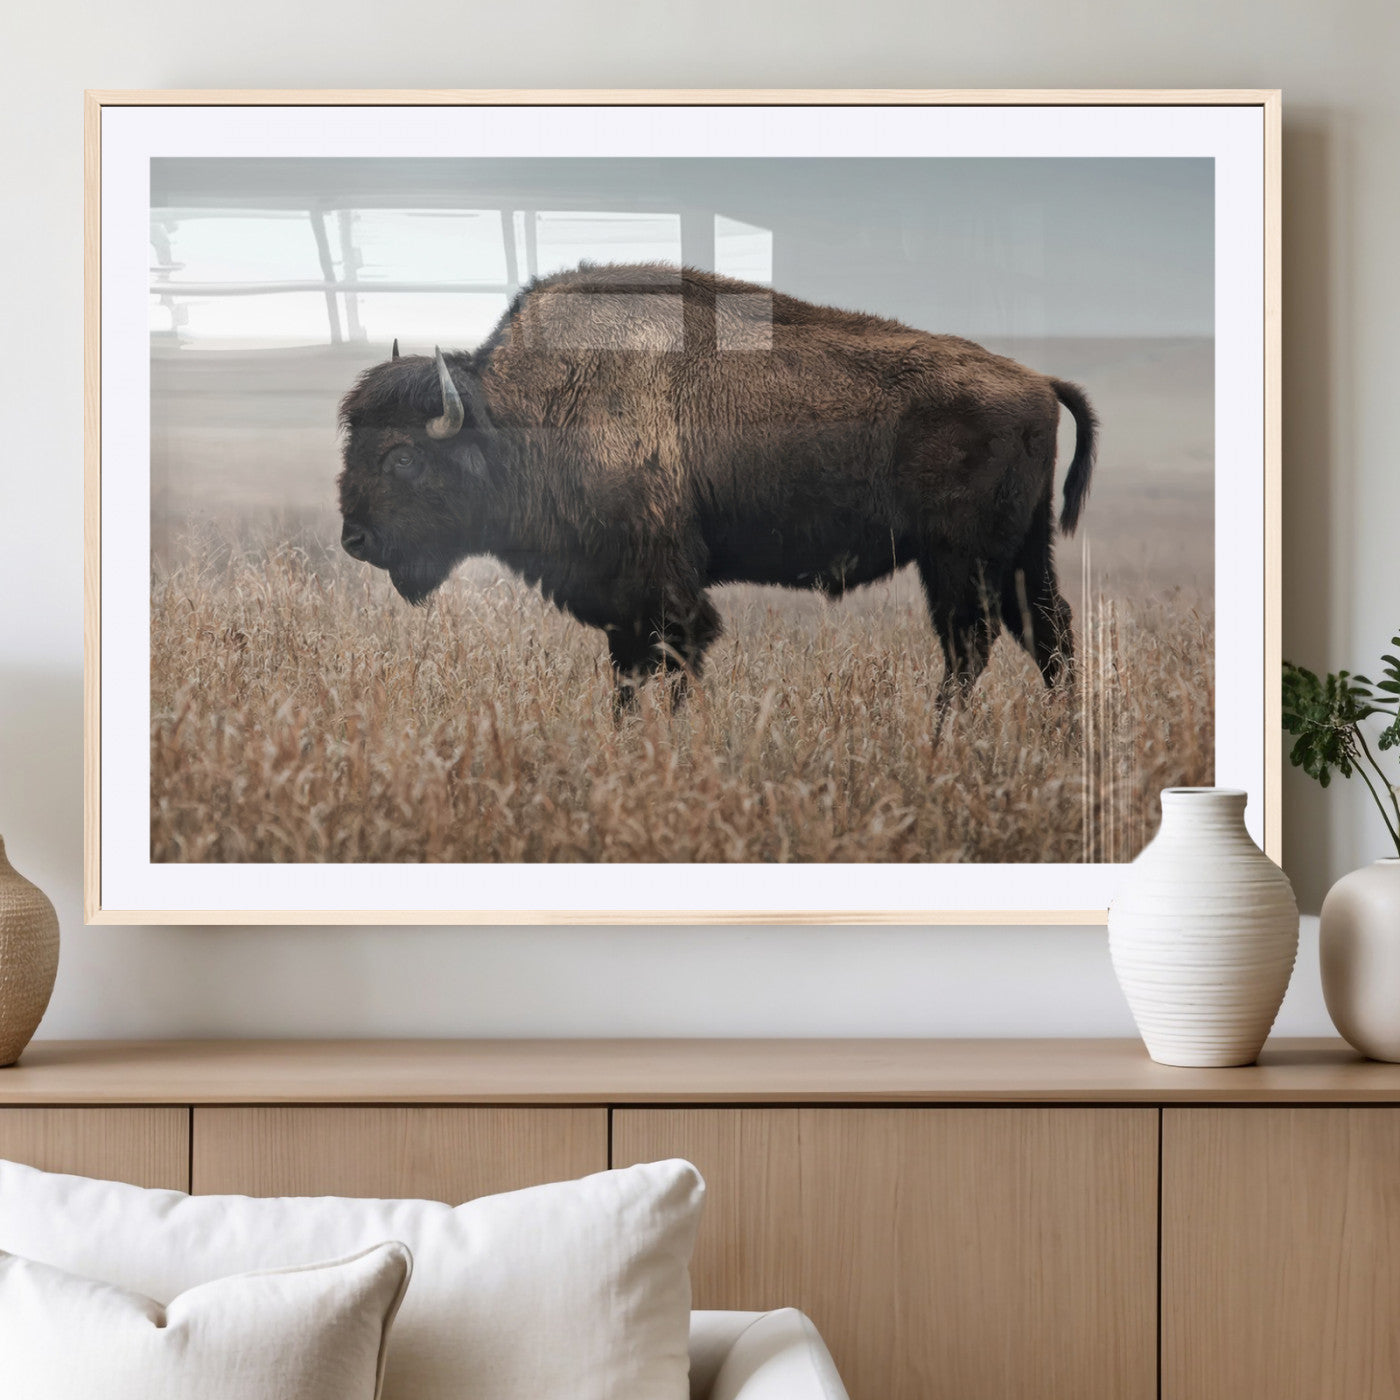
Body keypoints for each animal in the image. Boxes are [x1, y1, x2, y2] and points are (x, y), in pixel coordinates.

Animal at [338, 263, 1095, 709]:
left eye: (402, 457)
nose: (355, 540)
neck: (521, 416)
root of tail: (1036, 381)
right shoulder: (624, 603)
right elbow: (629, 674)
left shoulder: (663, 590)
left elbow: (672, 663)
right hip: (1020, 554)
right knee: (1047, 634)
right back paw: (1058, 737)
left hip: (959, 559)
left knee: (972, 645)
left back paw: (944, 739)